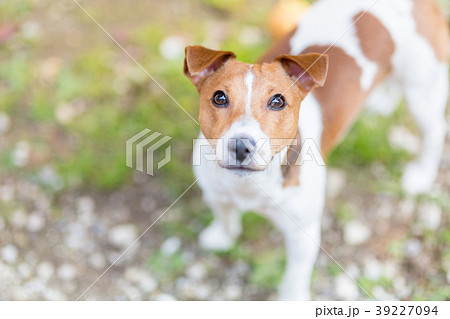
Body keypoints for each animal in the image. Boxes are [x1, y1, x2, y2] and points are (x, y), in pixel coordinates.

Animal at [184, 0, 450, 302]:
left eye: (278, 101)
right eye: (219, 97)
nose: (241, 146)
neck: (249, 186)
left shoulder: (303, 235)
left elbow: (295, 275)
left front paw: (291, 299)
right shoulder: (216, 193)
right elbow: (225, 216)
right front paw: (222, 237)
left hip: (422, 92)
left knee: (434, 131)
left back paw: (421, 174)